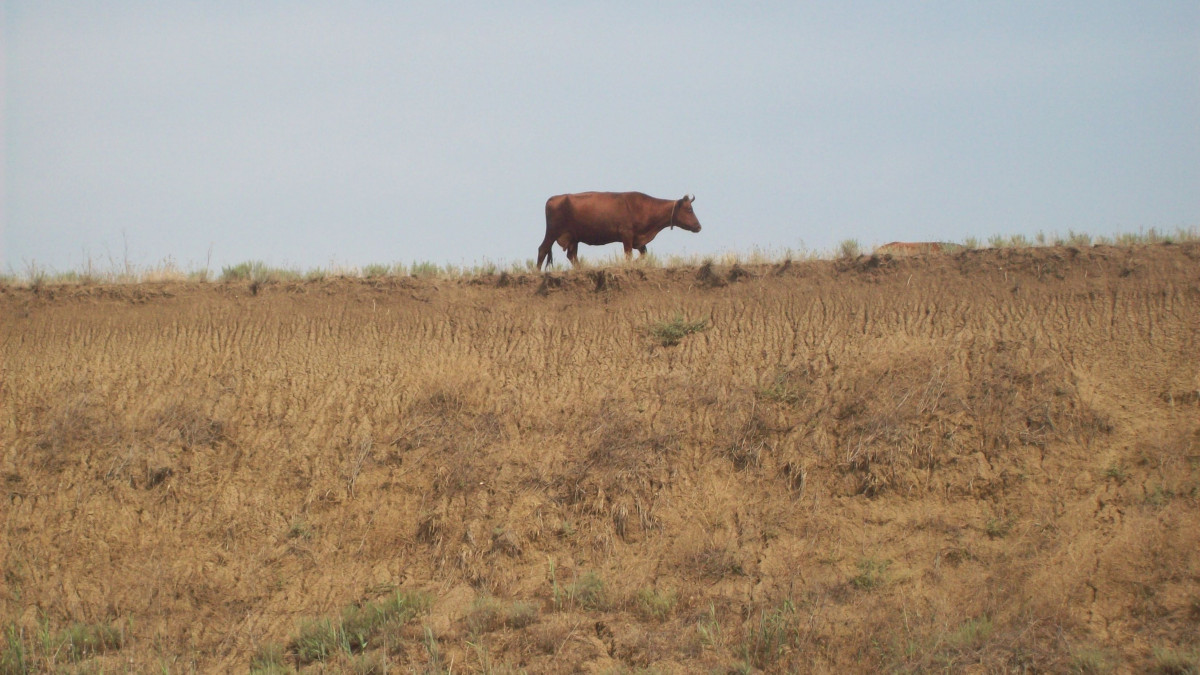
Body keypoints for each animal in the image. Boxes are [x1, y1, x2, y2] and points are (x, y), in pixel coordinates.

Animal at [537, 189, 700, 267]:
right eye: (689, 209)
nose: (699, 226)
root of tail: (554, 198)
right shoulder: (626, 235)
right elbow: (628, 255)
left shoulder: (638, 240)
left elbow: (644, 255)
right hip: (552, 232)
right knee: (542, 249)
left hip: (573, 238)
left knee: (572, 256)